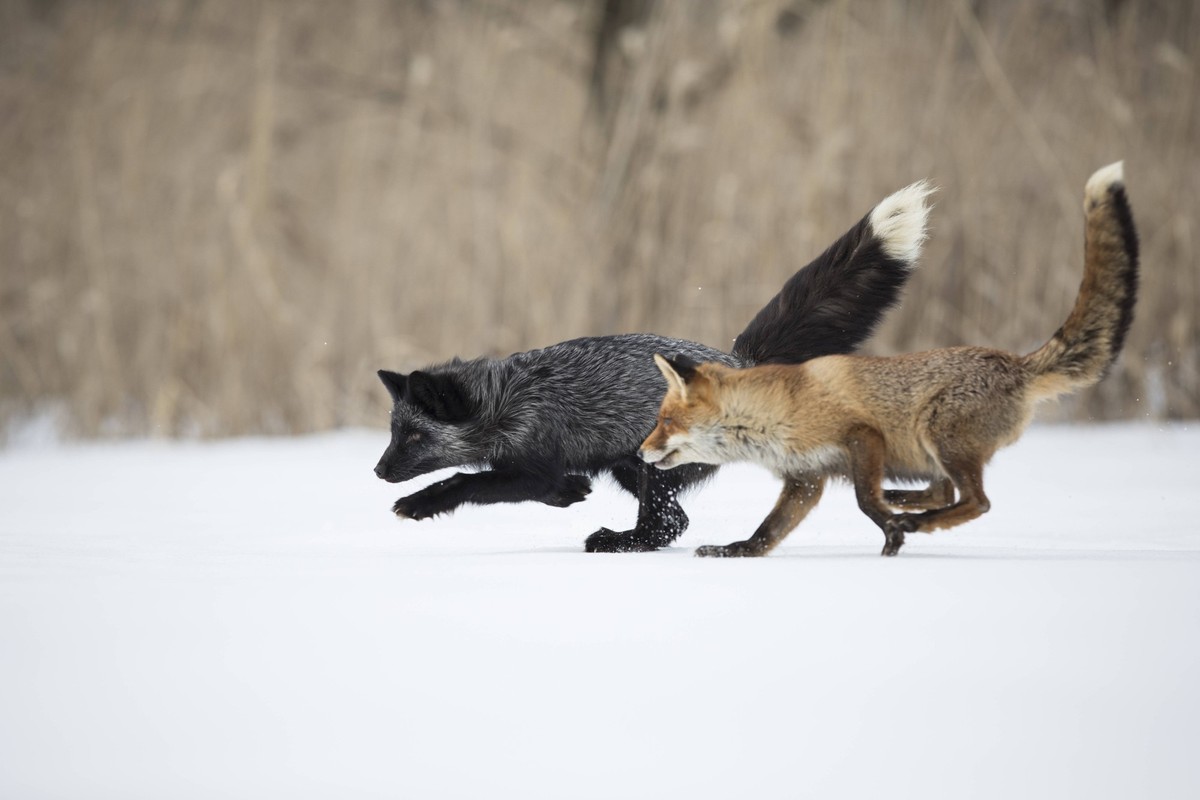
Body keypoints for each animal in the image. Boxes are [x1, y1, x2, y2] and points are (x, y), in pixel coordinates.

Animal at [374, 180, 933, 552]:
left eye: (416, 436)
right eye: (395, 431)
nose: (379, 470)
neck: (507, 398)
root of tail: (735, 362)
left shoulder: (532, 462)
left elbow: (466, 482)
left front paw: (419, 503)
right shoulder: (541, 465)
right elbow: (543, 486)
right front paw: (571, 494)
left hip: (652, 468)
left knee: (669, 525)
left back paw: (615, 541)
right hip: (631, 467)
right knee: (671, 523)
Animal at [640, 162, 1138, 557]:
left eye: (664, 421)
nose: (640, 452)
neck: (774, 412)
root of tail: (1015, 362)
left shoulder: (862, 437)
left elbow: (863, 499)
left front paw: (892, 538)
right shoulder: (807, 478)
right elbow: (769, 529)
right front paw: (736, 551)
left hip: (937, 433)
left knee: (975, 500)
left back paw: (914, 518)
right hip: (927, 450)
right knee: (945, 490)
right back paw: (903, 503)